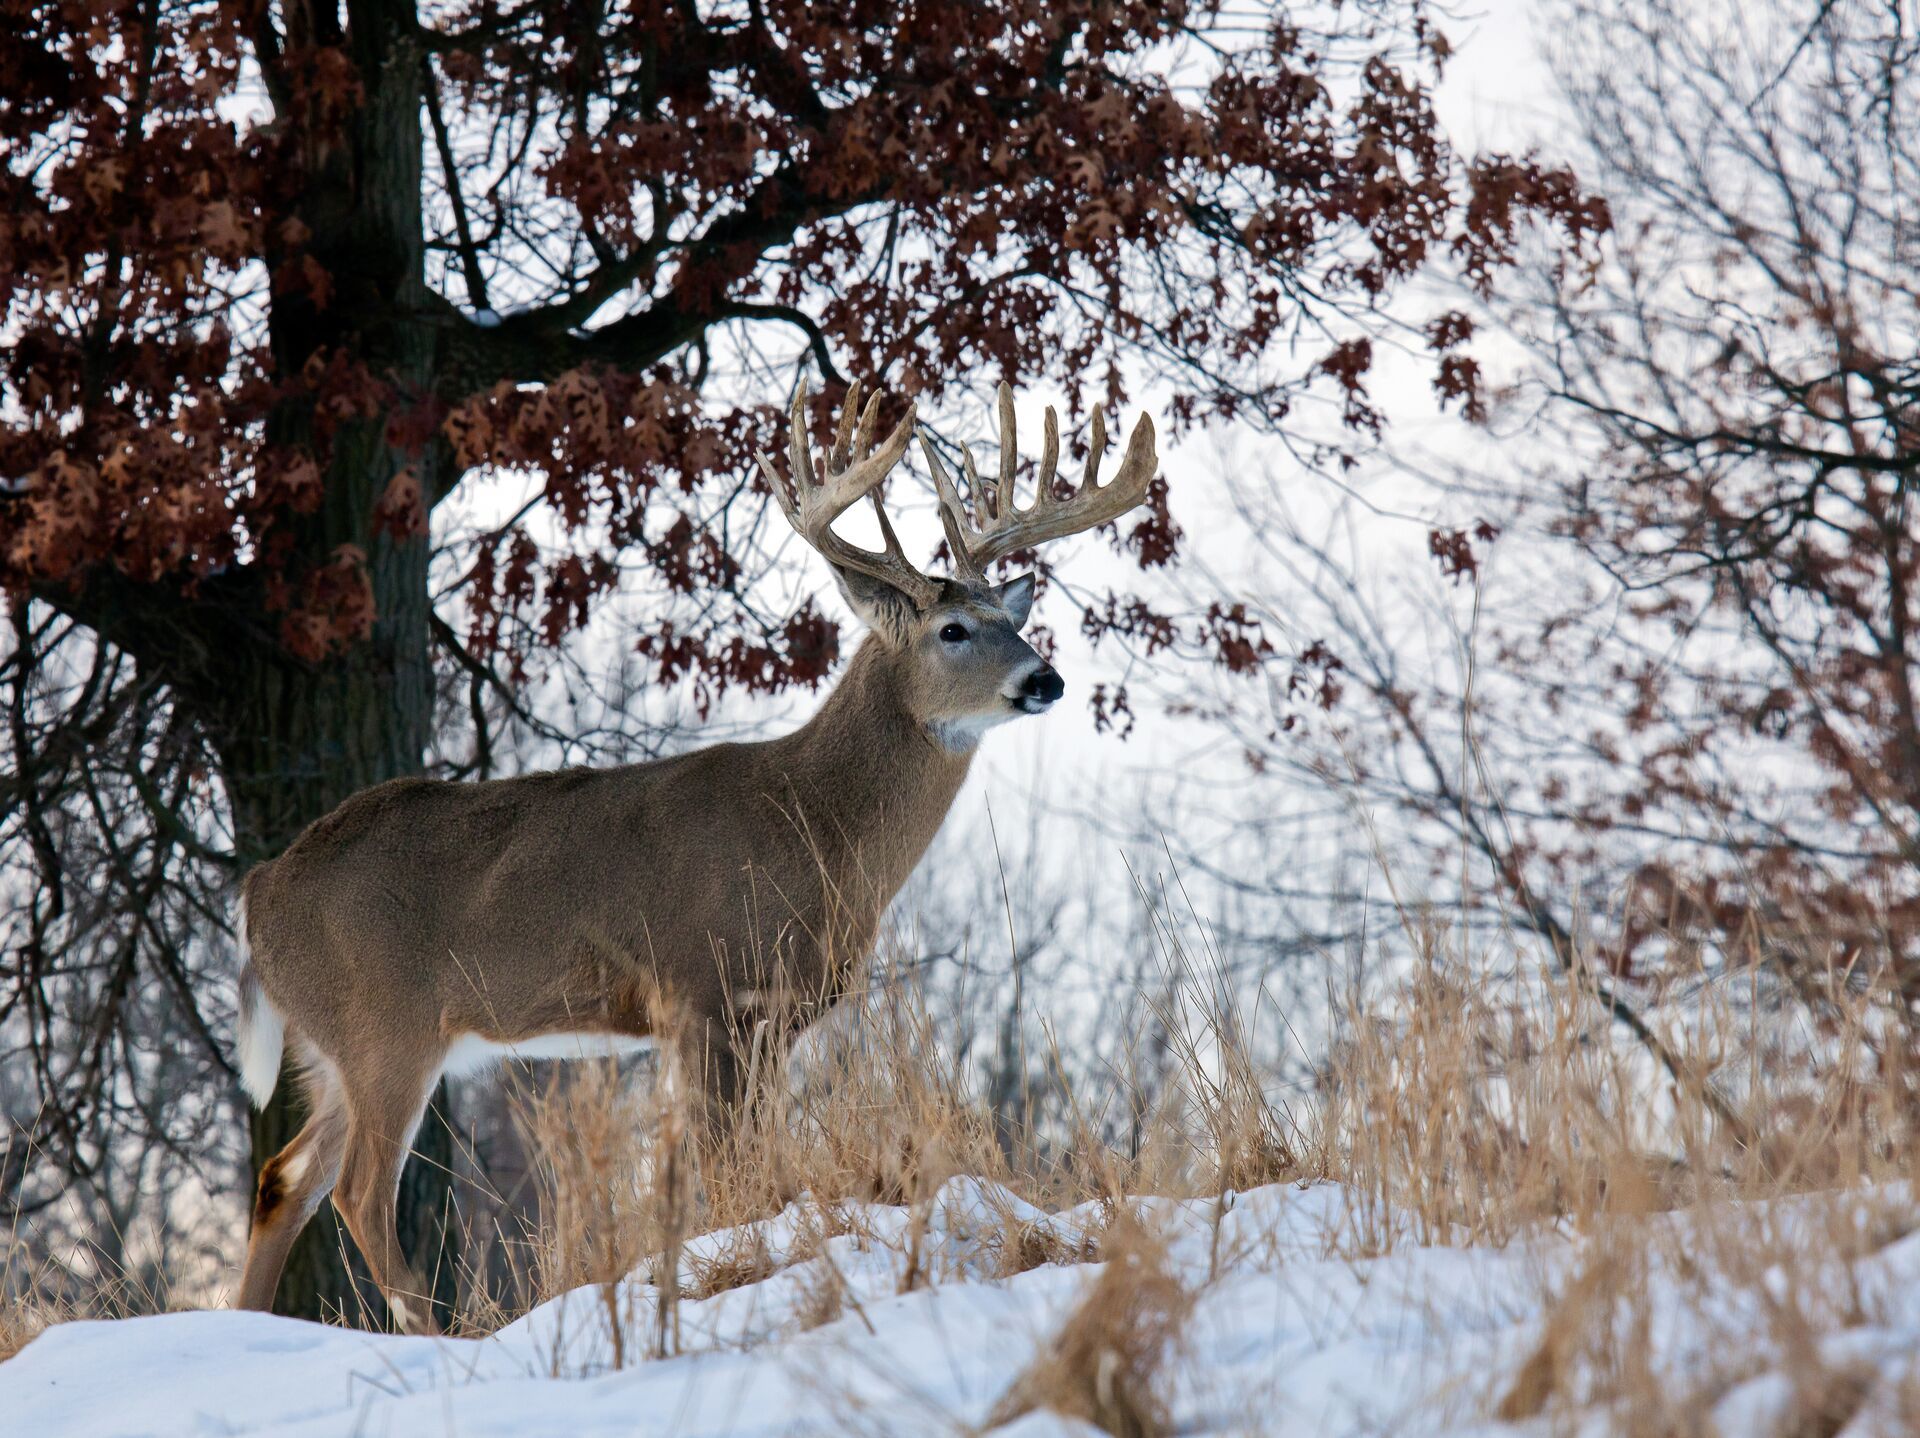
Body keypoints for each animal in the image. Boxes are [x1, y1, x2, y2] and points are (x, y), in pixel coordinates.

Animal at [224, 376, 1152, 1328]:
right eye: (954, 630)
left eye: (1013, 619)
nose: (1045, 678)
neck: (815, 828)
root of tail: (257, 889)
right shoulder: (700, 992)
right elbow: (726, 1174)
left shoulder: (772, 1018)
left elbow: (755, 1171)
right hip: (387, 1025)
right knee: (359, 1191)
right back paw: (437, 1332)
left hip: (331, 1045)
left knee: (283, 1178)